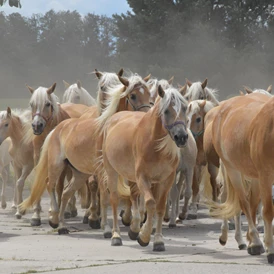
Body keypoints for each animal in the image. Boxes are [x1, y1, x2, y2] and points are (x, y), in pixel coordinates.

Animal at [18, 73, 152, 235]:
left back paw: (63, 225)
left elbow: (131, 192)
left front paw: (133, 225)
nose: (146, 119)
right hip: (57, 166)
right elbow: (105, 196)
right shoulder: (104, 171)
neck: (108, 129)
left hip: (79, 173)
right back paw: (54, 218)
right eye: (133, 96)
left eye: (149, 93)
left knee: (66, 191)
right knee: (51, 184)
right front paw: (106, 226)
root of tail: (55, 129)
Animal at [100, 85, 188, 250]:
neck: (155, 145)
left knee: (133, 197)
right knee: (114, 199)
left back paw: (133, 228)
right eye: (166, 111)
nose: (182, 137)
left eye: (185, 108)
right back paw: (116, 236)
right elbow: (150, 203)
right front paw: (144, 236)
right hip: (112, 171)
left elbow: (160, 207)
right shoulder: (143, 178)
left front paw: (158, 240)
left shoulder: (165, 180)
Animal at [203, 93, 274, 264]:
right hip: (232, 169)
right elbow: (268, 211)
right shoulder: (266, 176)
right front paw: (270, 249)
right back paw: (254, 242)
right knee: (243, 203)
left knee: (252, 204)